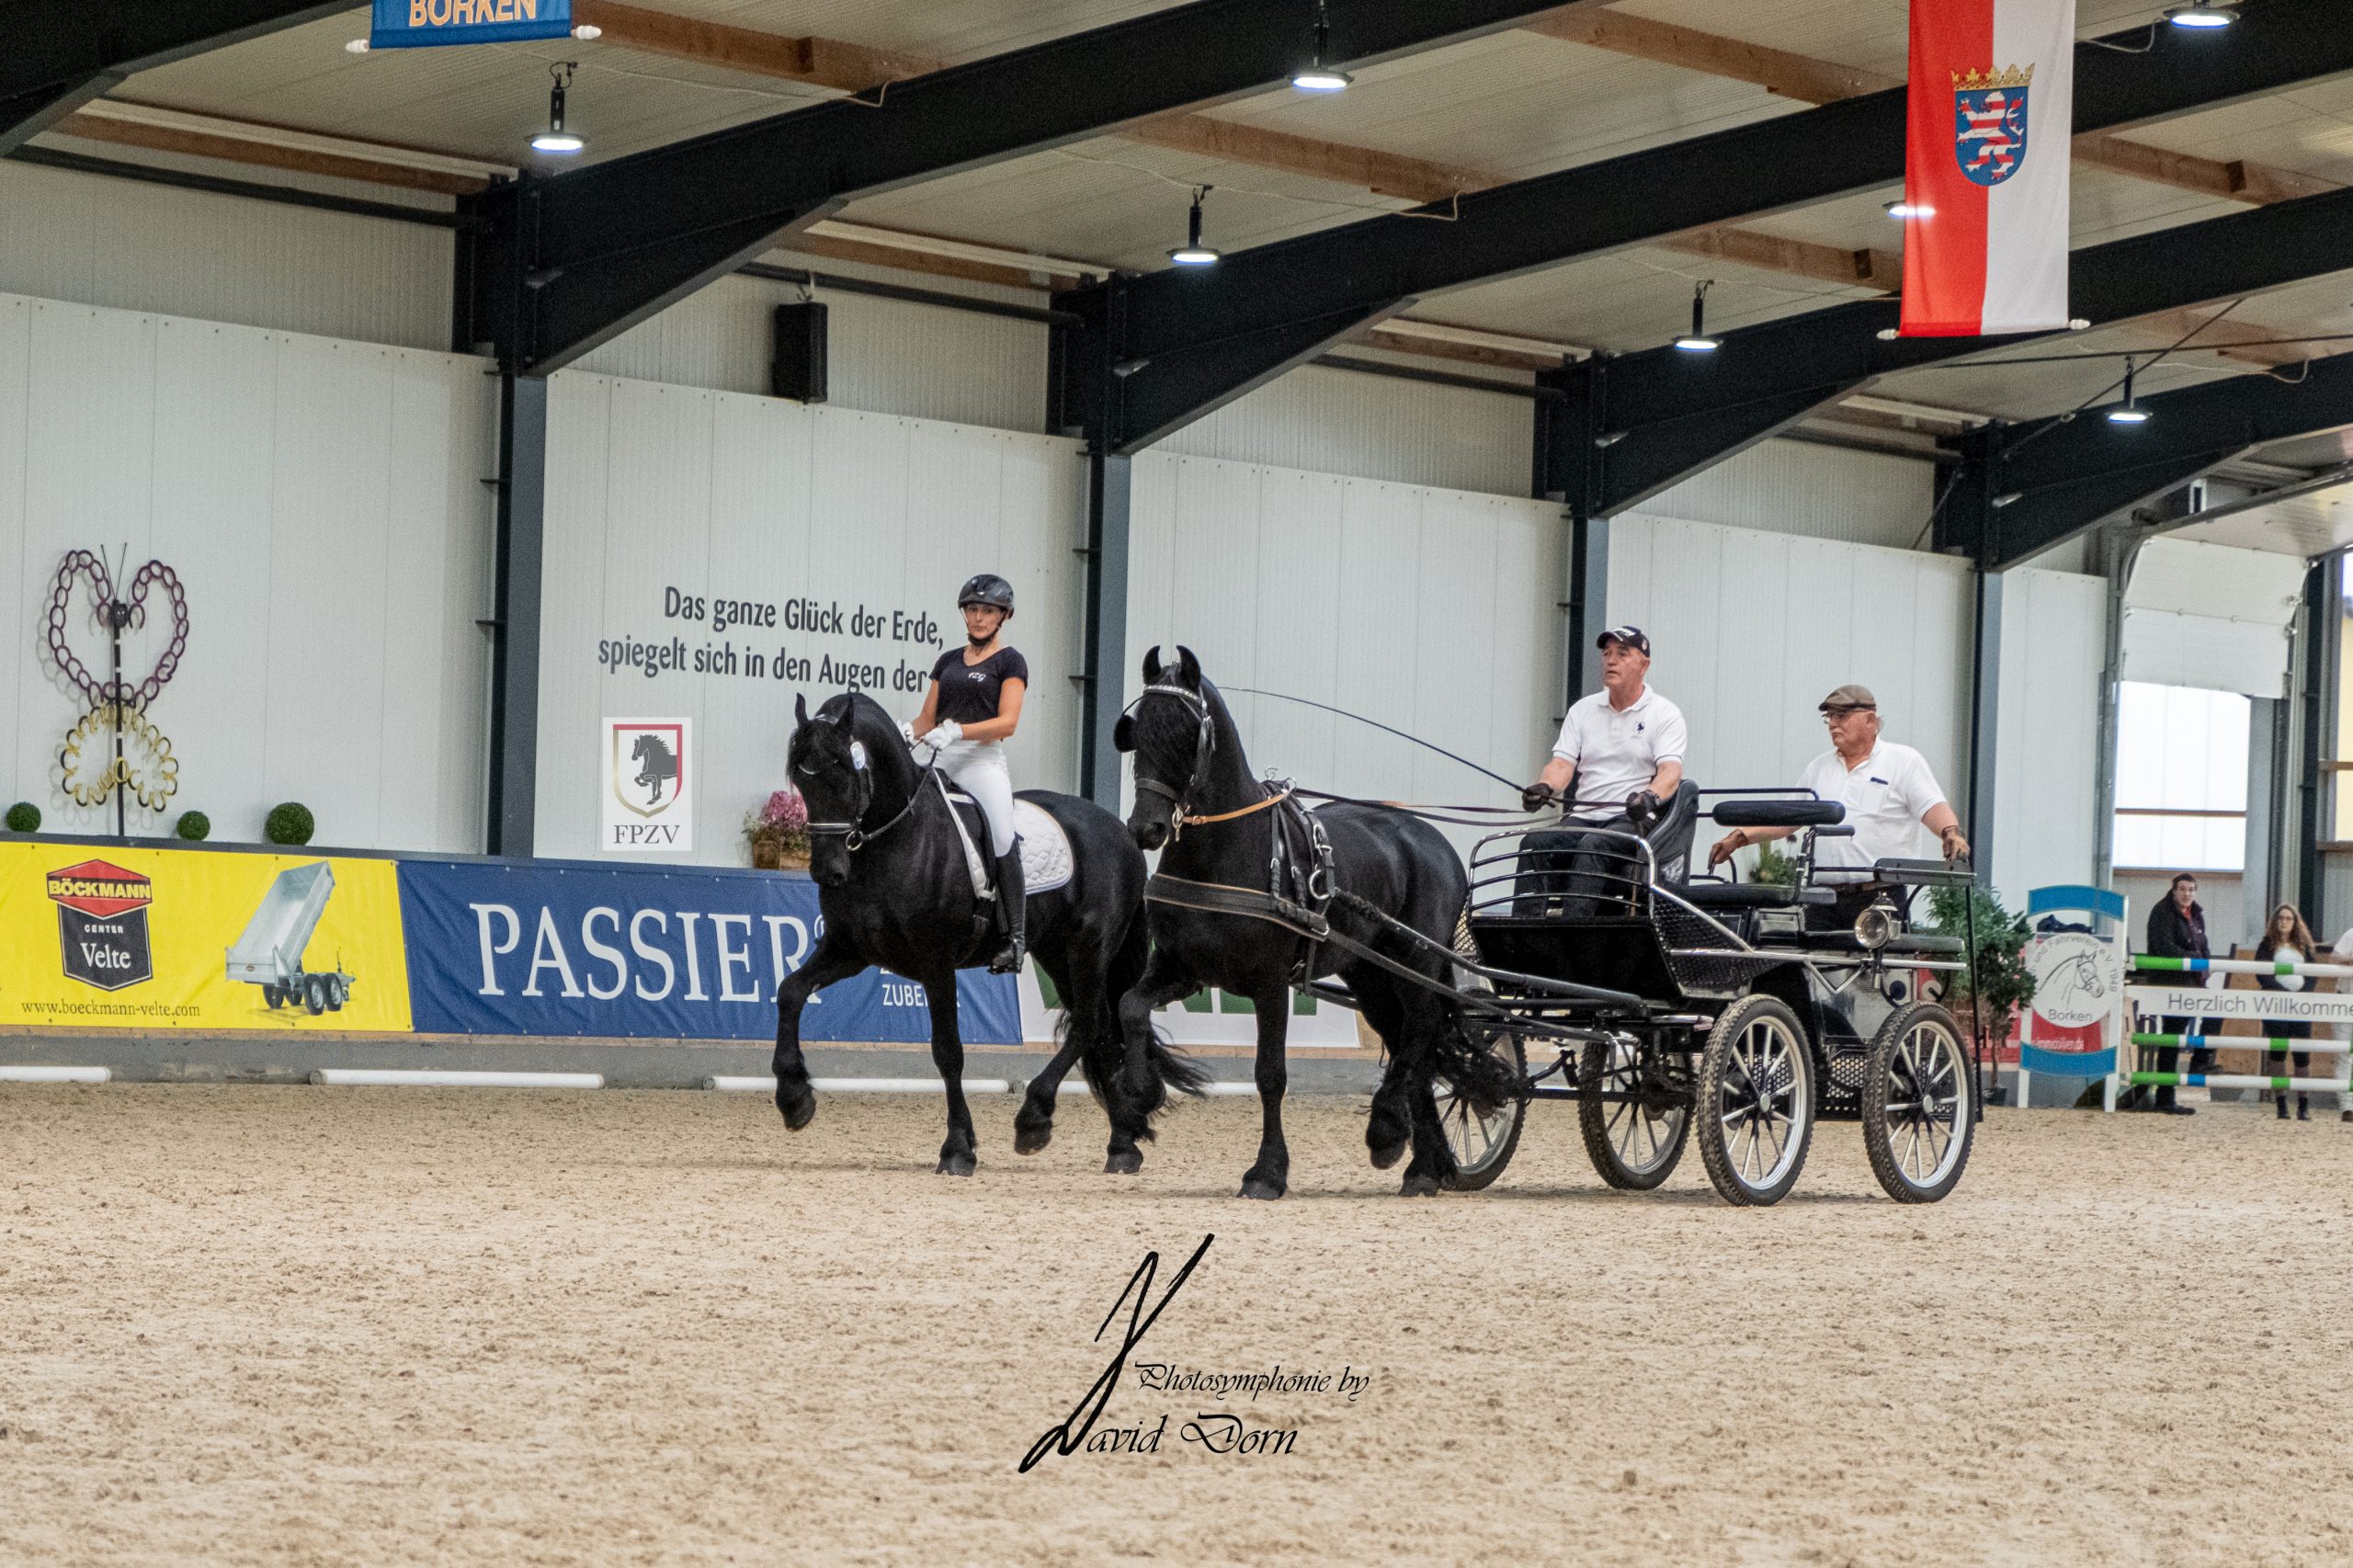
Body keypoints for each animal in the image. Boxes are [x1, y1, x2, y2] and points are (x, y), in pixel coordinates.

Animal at [780, 692, 1204, 1167]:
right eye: (801, 780)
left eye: (843, 772)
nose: (828, 873)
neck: (894, 841)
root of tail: (1122, 832)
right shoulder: (848, 951)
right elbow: (790, 991)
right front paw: (794, 1098)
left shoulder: (936, 964)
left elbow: (948, 1052)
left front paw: (957, 1148)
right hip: (1057, 954)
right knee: (1102, 1034)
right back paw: (1122, 1145)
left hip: (1090, 949)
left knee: (1090, 1024)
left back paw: (1035, 1119)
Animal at [1115, 640, 1515, 1191]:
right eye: (1137, 731)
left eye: (1184, 733)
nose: (1146, 828)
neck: (1226, 850)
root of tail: (1429, 837)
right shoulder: (1182, 968)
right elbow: (1131, 1007)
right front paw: (1139, 1094)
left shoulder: (1269, 983)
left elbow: (1270, 1075)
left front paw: (1267, 1173)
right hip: (1369, 974)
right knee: (1414, 1040)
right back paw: (1423, 1166)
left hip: (1413, 962)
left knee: (1423, 1029)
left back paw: (1388, 1131)